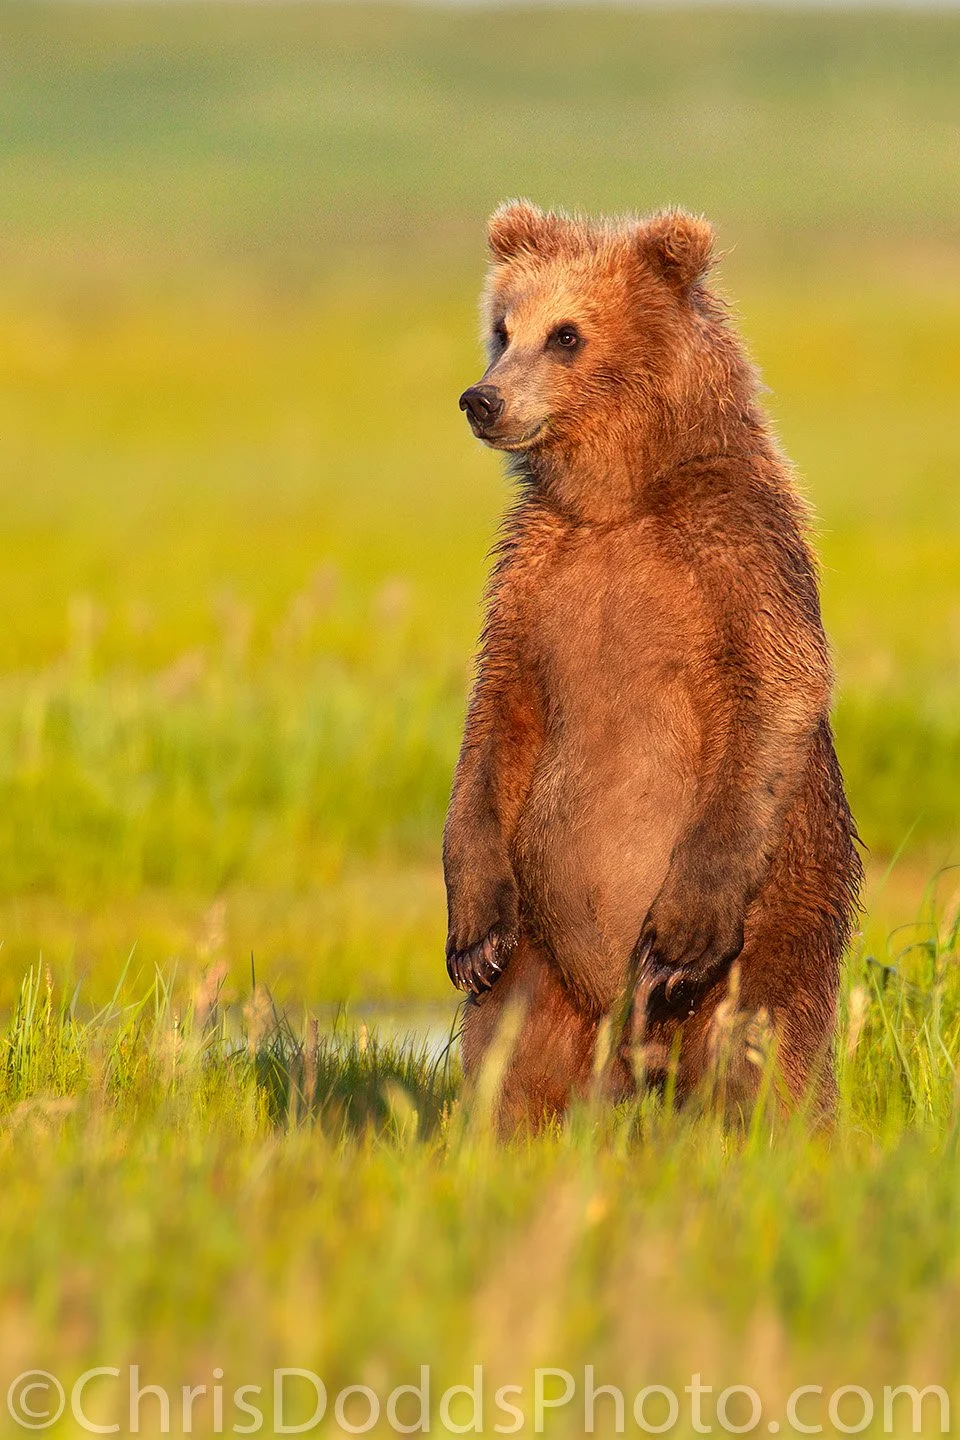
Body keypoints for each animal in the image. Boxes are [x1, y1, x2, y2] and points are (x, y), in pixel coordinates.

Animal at [443, 201, 861, 1129]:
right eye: (503, 328)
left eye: (567, 335)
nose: (482, 398)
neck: (617, 498)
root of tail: (628, 1047)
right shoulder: (532, 575)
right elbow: (494, 722)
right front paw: (471, 933)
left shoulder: (737, 550)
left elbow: (778, 689)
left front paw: (679, 940)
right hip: (545, 958)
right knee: (508, 1057)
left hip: (780, 926)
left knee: (762, 1058)